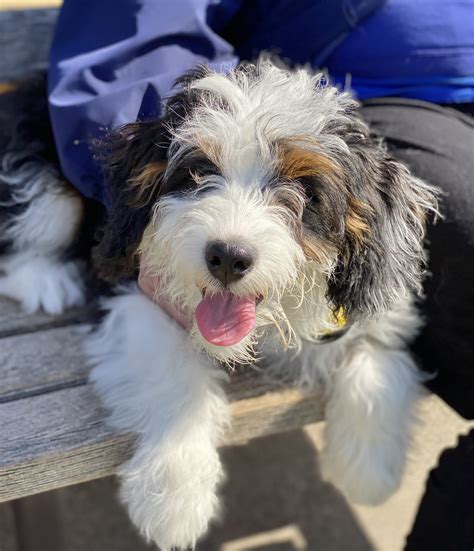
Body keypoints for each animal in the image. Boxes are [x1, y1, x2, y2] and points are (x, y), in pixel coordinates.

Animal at [0, 61, 436, 551]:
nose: (228, 256)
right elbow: (173, 372)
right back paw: (45, 279)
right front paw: (176, 498)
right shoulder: (127, 282)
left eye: (305, 188)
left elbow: (380, 356)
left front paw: (369, 472)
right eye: (198, 172)